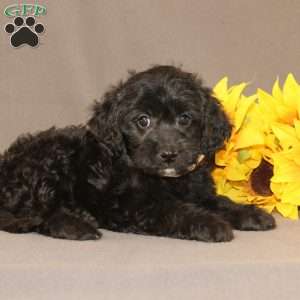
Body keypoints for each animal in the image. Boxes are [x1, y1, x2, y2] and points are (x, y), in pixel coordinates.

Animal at [0, 65, 276, 241]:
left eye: (185, 119)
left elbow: (220, 202)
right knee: (37, 215)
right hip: (46, 164)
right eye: (143, 120)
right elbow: (174, 210)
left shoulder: (199, 193)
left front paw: (250, 214)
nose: (169, 154)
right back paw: (77, 226)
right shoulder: (132, 206)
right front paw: (211, 224)